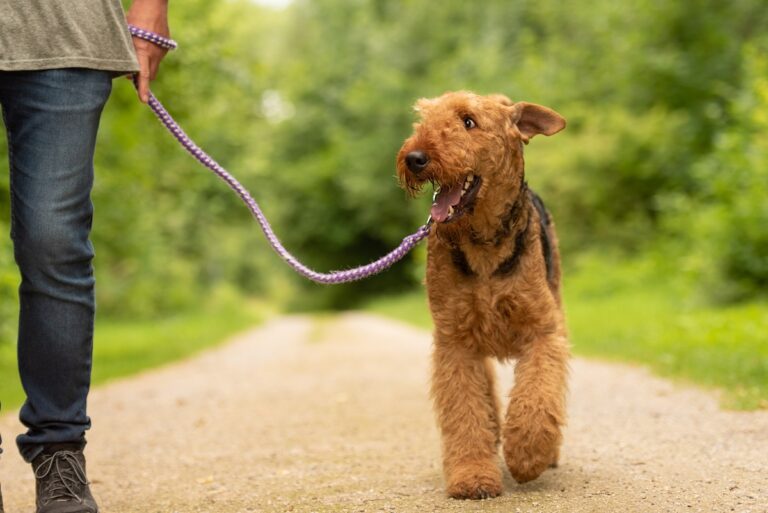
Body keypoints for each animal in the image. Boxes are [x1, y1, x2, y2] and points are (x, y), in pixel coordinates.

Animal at [396, 90, 568, 498]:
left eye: (468, 121)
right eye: (423, 119)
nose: (414, 158)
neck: (484, 241)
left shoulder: (543, 330)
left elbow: (538, 393)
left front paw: (527, 455)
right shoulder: (455, 340)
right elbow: (466, 410)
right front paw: (473, 476)